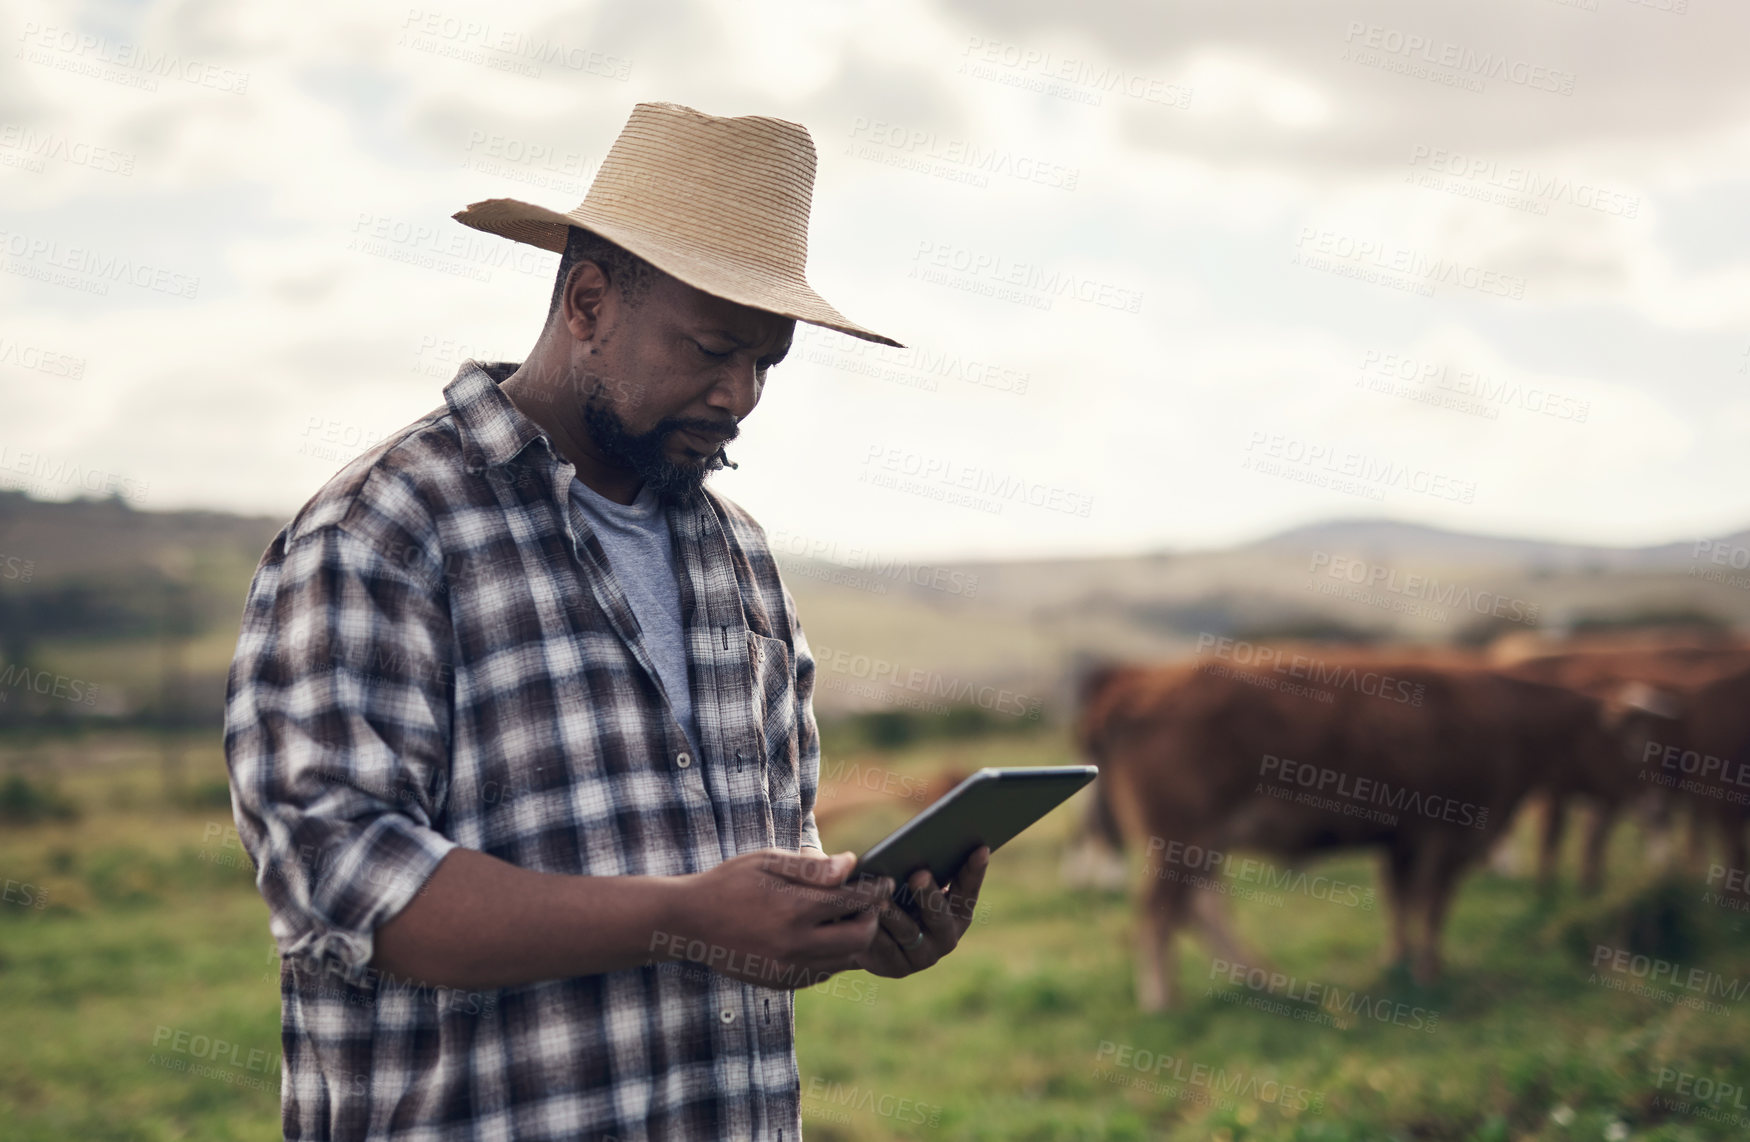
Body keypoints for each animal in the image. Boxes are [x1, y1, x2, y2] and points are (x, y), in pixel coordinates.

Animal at [1071, 654, 1645, 1014]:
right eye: (1626, 744)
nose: (1640, 797)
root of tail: (1137, 681)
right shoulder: (1449, 836)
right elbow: (1432, 906)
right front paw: (1430, 971)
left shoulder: (1403, 841)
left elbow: (1400, 903)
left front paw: (1399, 963)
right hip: (1181, 834)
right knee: (1158, 913)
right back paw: (1163, 1002)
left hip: (1199, 841)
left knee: (1198, 906)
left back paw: (1262, 980)